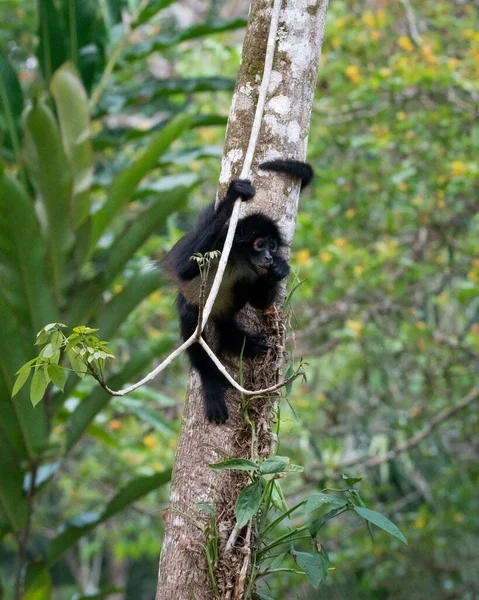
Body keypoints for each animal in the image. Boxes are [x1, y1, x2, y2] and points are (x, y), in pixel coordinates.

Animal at [163, 158, 316, 422]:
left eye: (272, 245)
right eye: (259, 244)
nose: (268, 257)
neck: (238, 258)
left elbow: (260, 303)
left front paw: (279, 269)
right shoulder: (220, 242)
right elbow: (182, 269)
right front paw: (234, 193)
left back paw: (232, 338)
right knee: (191, 314)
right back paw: (211, 379)